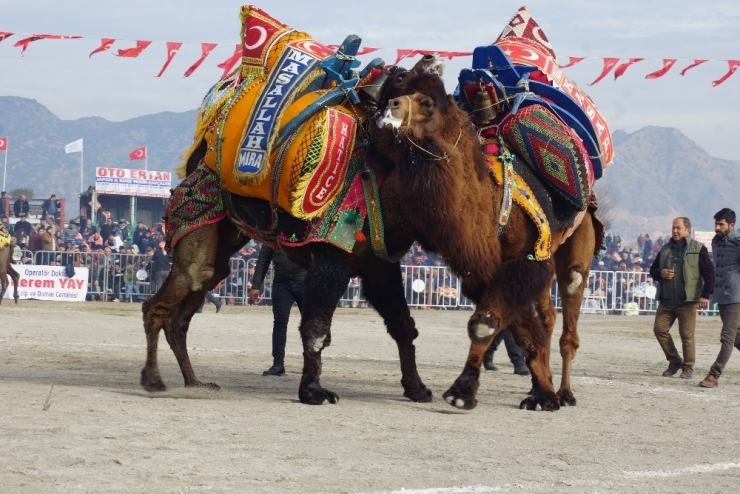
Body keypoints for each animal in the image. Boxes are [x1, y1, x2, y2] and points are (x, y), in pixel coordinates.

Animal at [142, 59, 600, 412]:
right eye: (397, 88)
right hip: (202, 235)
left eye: (429, 101)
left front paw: (425, 389)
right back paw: (157, 380)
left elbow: (414, 326)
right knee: (166, 303)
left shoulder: (385, 264)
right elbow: (318, 327)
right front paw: (314, 392)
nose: (392, 108)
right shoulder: (335, 253)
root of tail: (198, 159)